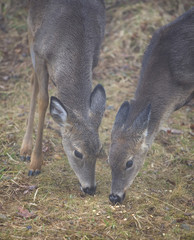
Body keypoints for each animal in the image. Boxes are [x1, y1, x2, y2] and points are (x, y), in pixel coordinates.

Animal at [19, 0, 106, 196]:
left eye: (99, 150)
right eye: (77, 153)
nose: (90, 188)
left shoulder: (95, 59)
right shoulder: (40, 52)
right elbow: (43, 100)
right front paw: (35, 164)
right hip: (30, 28)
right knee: (33, 82)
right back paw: (25, 149)